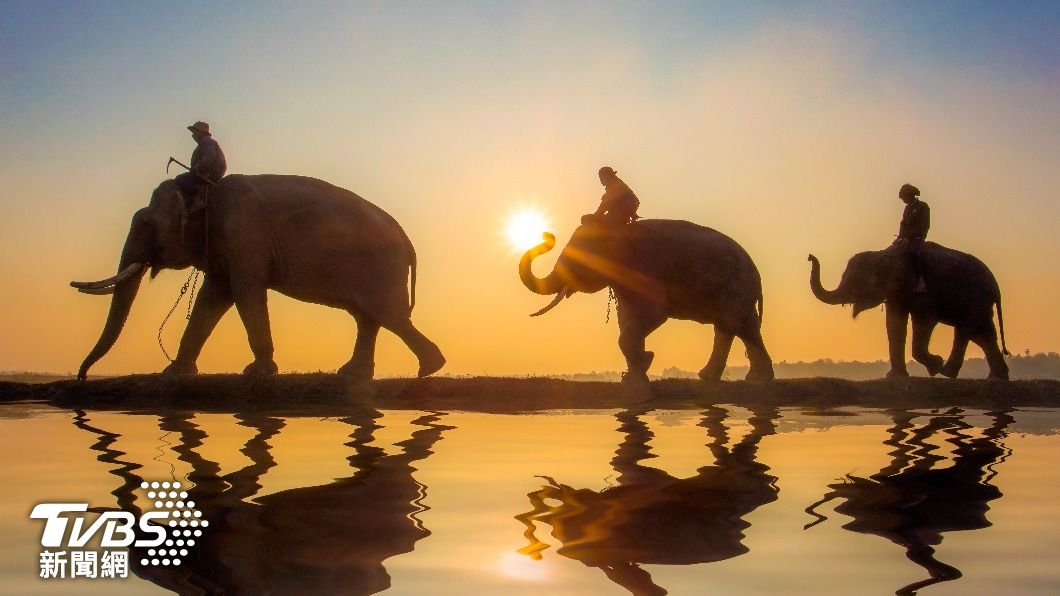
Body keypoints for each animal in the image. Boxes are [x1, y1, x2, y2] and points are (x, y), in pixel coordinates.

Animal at [70, 175, 445, 380]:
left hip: (381, 268)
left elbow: (245, 291)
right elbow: (213, 296)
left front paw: (257, 373)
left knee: (389, 316)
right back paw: (355, 374)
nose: (81, 376)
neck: (205, 191)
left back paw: (429, 368)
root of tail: (407, 240)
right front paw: (175, 373)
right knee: (368, 318)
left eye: (146, 224)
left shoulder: (244, 234)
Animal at [519, 220, 774, 382]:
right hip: (741, 294)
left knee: (726, 328)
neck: (617, 230)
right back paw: (758, 379)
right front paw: (635, 373)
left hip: (734, 289)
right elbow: (626, 318)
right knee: (748, 328)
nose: (548, 235)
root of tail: (755, 270)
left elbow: (653, 314)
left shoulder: (646, 269)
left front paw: (645, 362)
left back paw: (708, 376)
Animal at [808, 242, 1009, 380]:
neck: (885, 253)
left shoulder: (923, 290)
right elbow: (894, 323)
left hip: (976, 298)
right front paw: (895, 377)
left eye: (858, 280)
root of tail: (995, 284)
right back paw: (991, 377)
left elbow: (925, 320)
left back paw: (951, 372)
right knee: (979, 333)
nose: (809, 256)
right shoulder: (897, 294)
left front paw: (934, 366)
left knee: (973, 330)